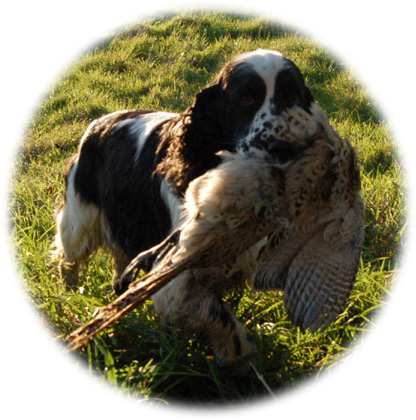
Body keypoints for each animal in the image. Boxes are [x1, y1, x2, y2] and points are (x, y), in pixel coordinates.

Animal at [55, 49, 315, 364]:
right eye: (246, 99)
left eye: (293, 96)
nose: (284, 147)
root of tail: (100, 121)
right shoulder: (176, 272)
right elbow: (218, 315)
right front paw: (243, 358)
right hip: (78, 221)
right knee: (69, 261)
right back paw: (69, 297)